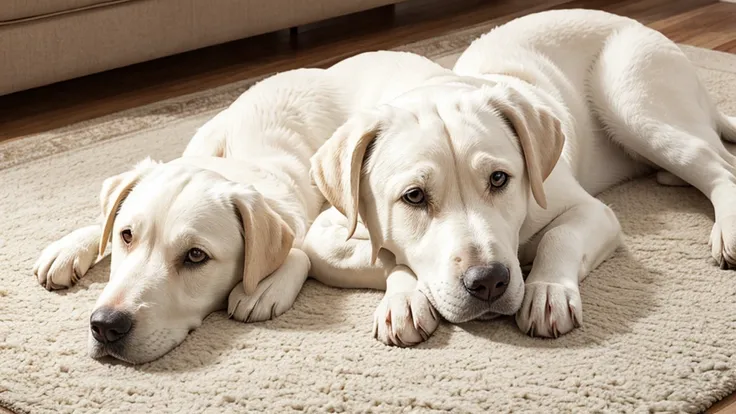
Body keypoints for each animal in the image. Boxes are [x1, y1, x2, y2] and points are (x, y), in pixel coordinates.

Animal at [33, 51, 448, 362]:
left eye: (196, 256)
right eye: (126, 236)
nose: (105, 325)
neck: (234, 166)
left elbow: (299, 251)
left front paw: (263, 288)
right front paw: (73, 245)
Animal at [304, 9, 736, 346]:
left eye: (499, 179)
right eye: (413, 196)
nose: (488, 281)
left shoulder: (593, 211)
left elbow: (559, 235)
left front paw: (547, 290)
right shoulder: (324, 237)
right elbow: (386, 255)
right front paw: (404, 298)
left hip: (634, 103)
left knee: (719, 167)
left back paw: (728, 228)